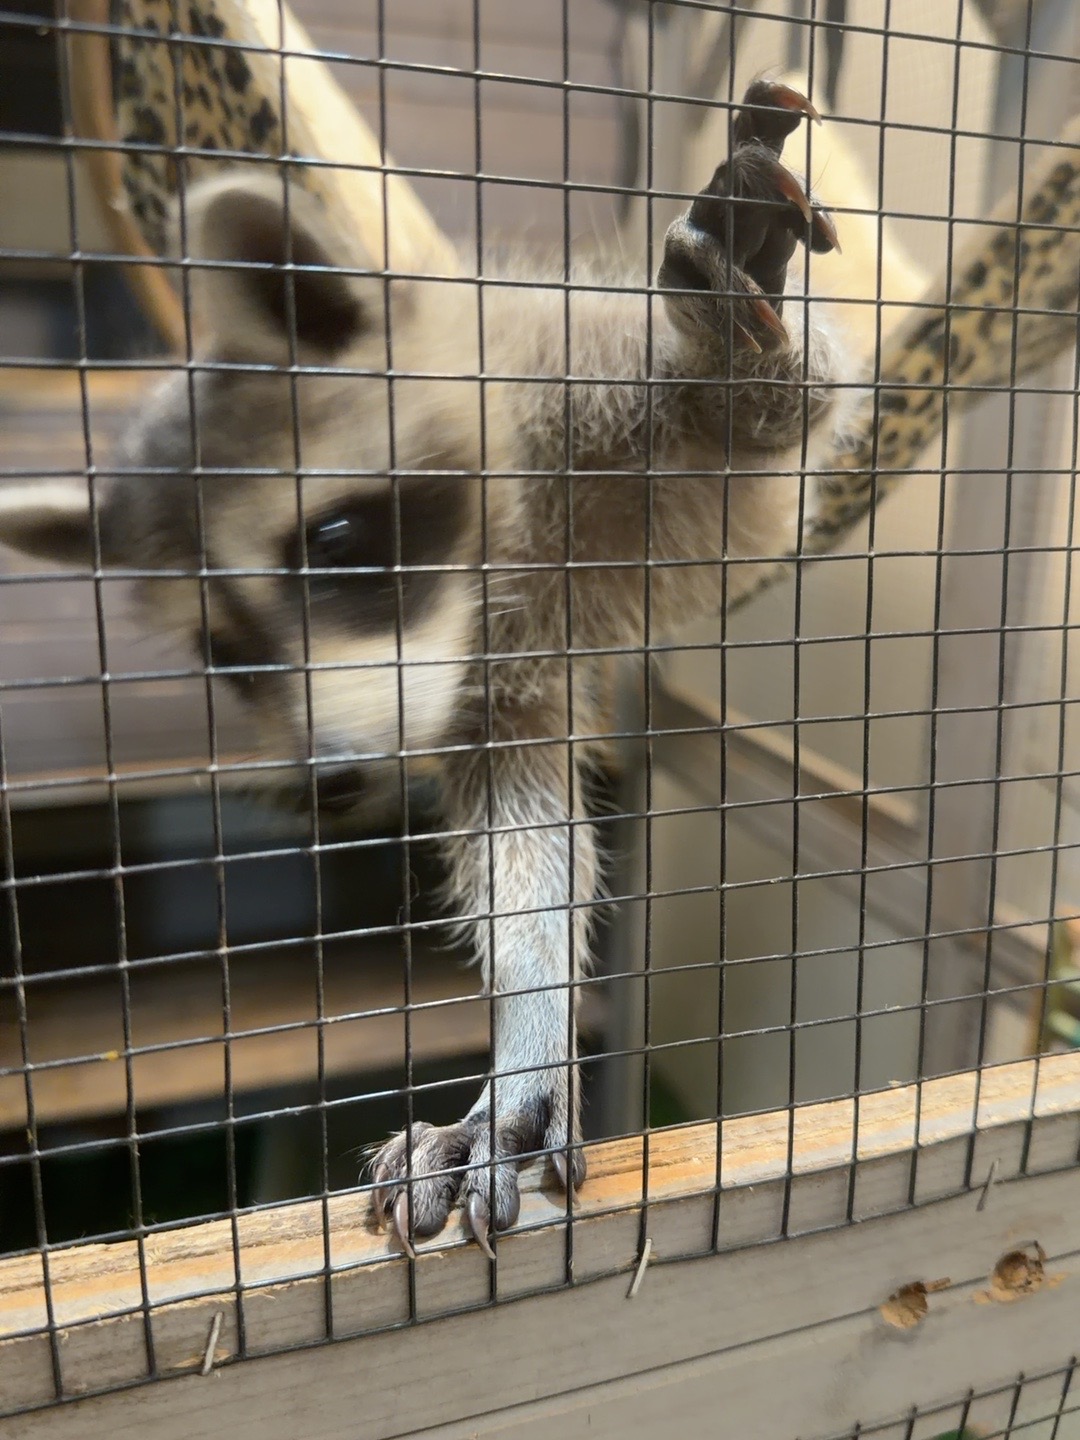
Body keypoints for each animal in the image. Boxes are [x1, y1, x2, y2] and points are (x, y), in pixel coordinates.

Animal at [0, 82, 842, 1254]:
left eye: (339, 542)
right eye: (228, 655)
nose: (329, 781)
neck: (504, 552)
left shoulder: (598, 417)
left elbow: (759, 452)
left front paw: (740, 372)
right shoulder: (485, 682)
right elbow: (524, 849)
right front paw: (529, 1036)